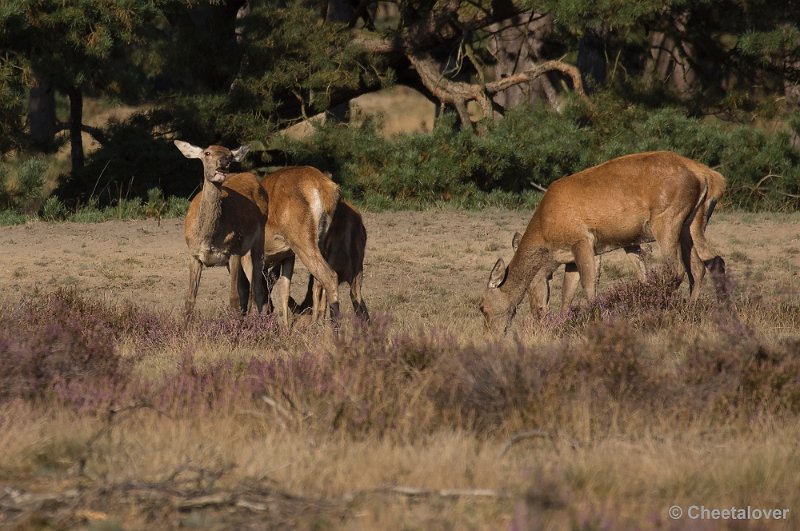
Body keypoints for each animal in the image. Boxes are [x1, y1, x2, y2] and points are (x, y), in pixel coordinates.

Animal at [174, 139, 268, 320]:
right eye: (207, 153)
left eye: (230, 155)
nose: (224, 162)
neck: (208, 238)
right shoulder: (193, 254)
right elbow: (189, 300)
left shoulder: (233, 250)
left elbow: (233, 299)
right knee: (247, 288)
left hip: (260, 236)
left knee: (257, 289)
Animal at [478, 151, 728, 332]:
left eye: (482, 308)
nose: (538, 313)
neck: (546, 236)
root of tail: (710, 176)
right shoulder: (570, 255)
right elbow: (567, 294)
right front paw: (563, 324)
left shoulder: (582, 239)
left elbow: (589, 287)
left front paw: (593, 320)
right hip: (693, 223)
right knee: (706, 263)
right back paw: (698, 310)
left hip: (667, 219)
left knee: (677, 269)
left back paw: (665, 311)